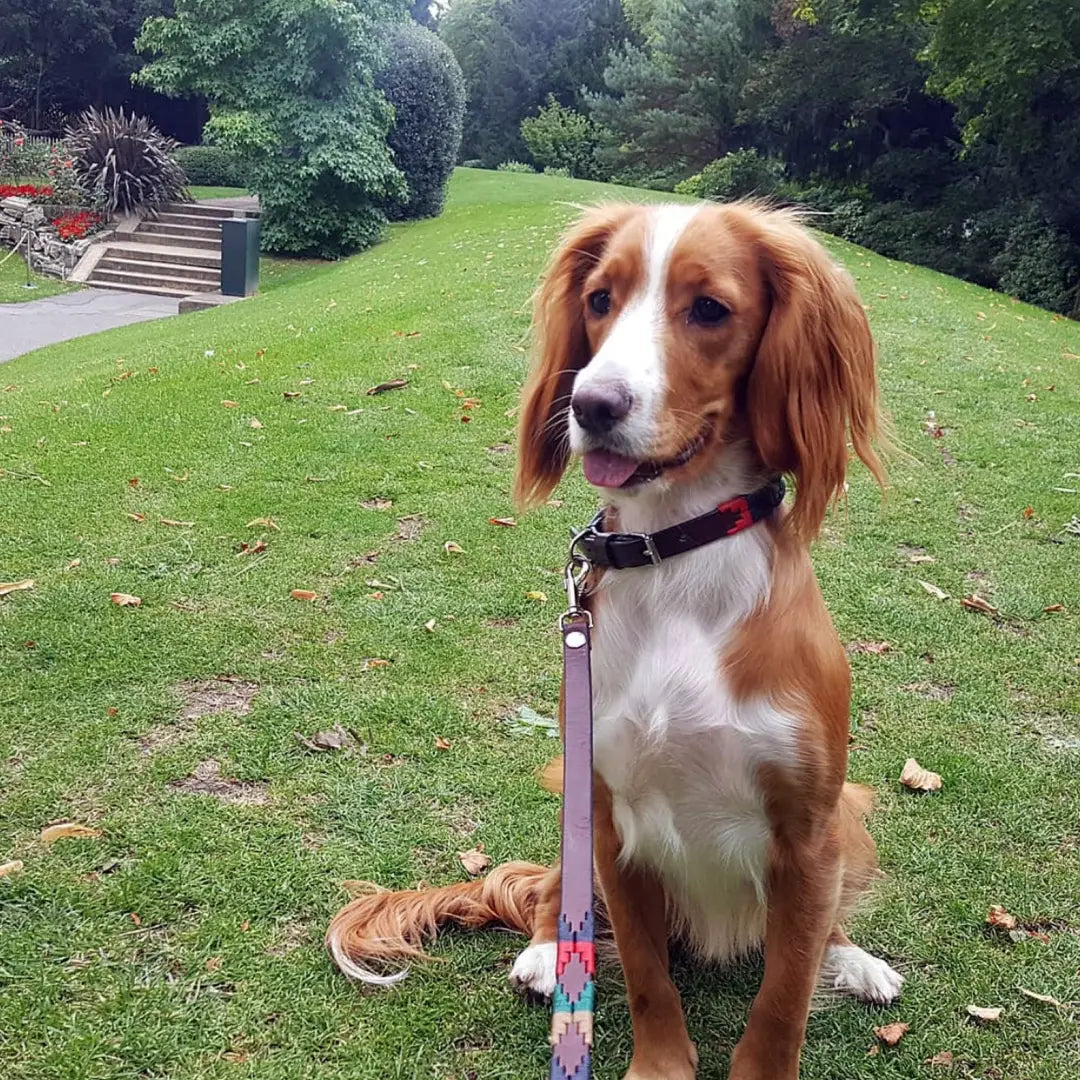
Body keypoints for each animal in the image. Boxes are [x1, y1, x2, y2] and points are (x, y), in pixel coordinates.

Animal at [326, 204, 902, 1080]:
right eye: (600, 299)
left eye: (710, 309)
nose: (591, 404)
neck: (676, 557)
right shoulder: (611, 821)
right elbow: (645, 978)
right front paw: (656, 1064)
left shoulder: (807, 837)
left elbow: (783, 999)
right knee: (548, 893)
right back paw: (542, 954)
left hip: (850, 813)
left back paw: (856, 959)